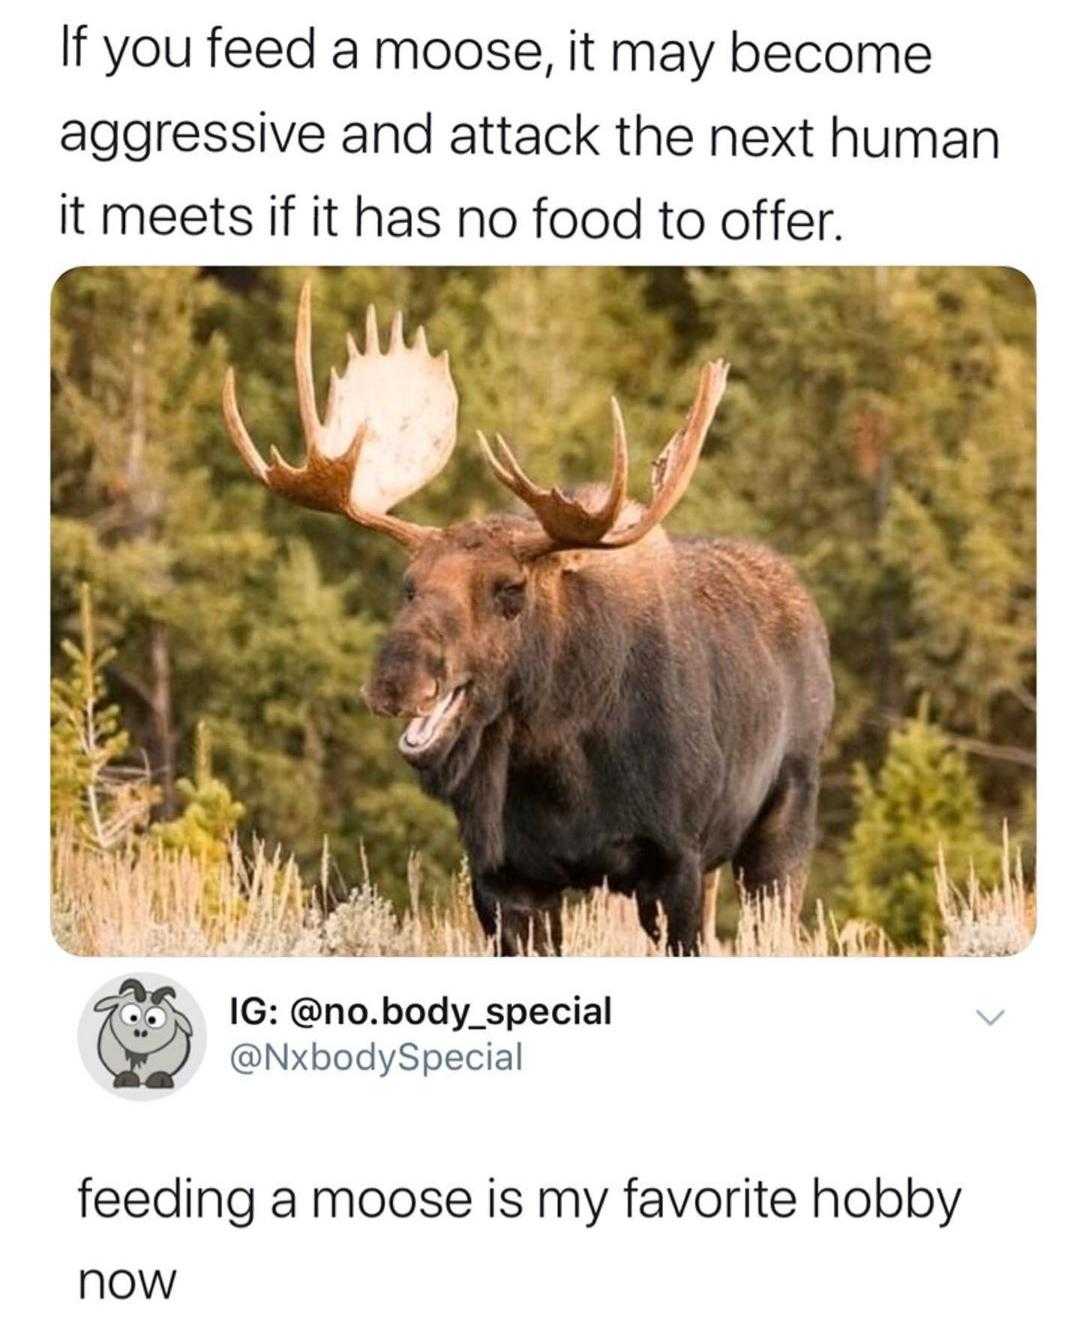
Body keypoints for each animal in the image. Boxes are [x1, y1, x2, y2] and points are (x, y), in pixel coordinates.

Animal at [224, 285, 838, 955]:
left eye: (510, 590)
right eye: (409, 584)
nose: (395, 679)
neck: (560, 766)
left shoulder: (674, 859)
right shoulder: (506, 877)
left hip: (786, 814)